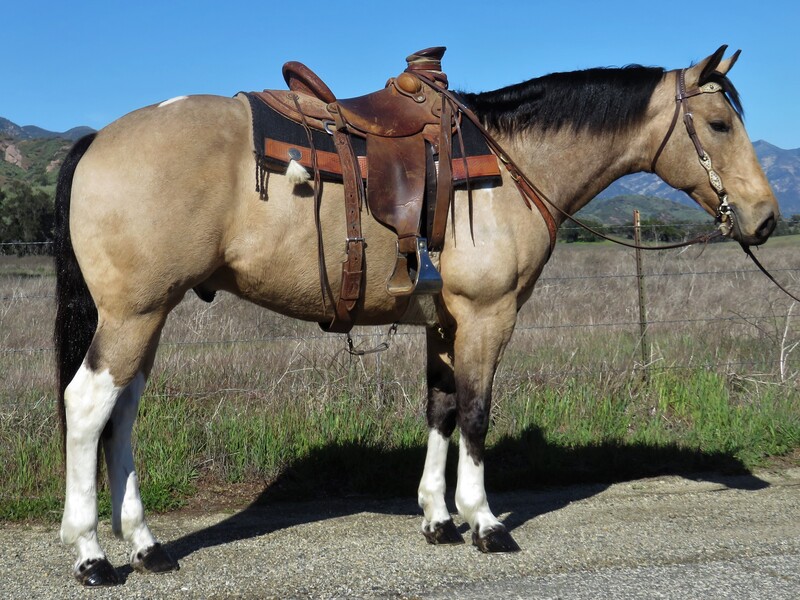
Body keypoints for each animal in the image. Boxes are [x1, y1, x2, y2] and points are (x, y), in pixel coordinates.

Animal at [54, 48, 776, 584]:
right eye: (719, 125)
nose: (766, 217)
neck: (511, 163)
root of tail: (99, 139)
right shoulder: (488, 316)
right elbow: (477, 415)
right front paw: (484, 522)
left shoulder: (444, 323)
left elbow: (440, 410)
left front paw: (437, 517)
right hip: (134, 314)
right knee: (89, 405)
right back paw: (91, 554)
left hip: (148, 316)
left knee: (122, 413)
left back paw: (147, 545)